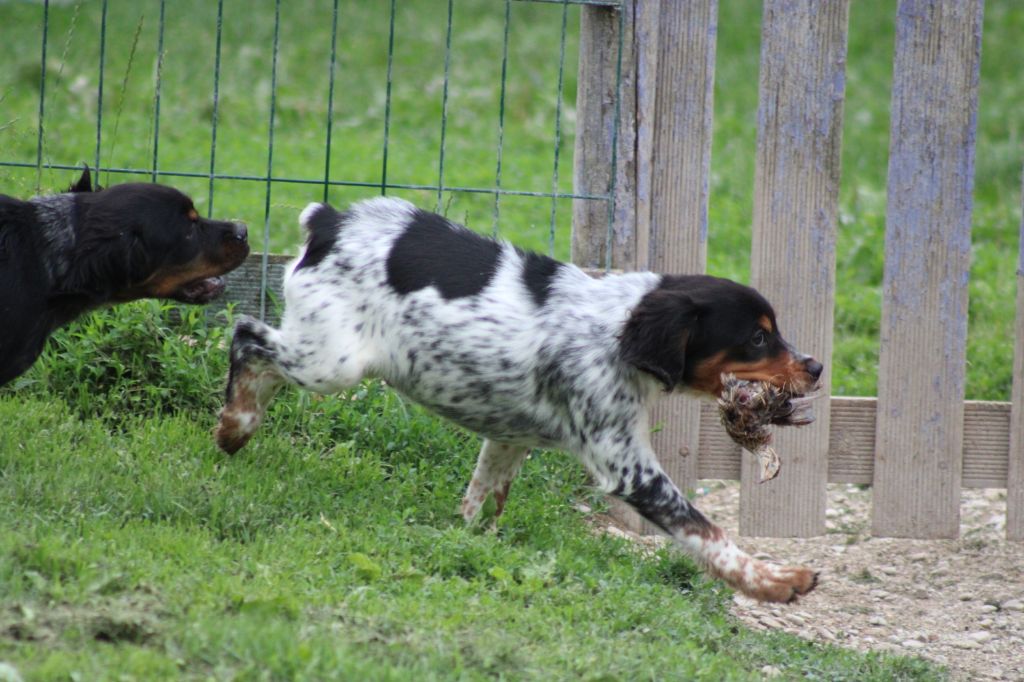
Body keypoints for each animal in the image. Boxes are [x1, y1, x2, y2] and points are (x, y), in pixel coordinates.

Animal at [216, 196, 823, 602]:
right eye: (758, 338)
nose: (816, 368)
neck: (615, 330)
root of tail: (331, 221)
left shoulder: (508, 437)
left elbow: (481, 501)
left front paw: (470, 542)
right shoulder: (627, 466)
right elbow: (706, 530)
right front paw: (776, 581)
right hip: (332, 362)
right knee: (247, 337)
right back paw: (234, 426)